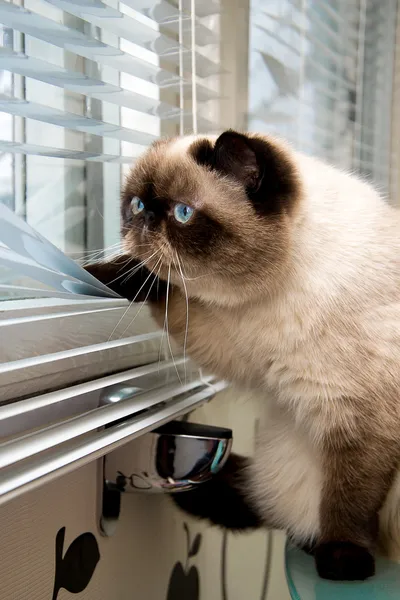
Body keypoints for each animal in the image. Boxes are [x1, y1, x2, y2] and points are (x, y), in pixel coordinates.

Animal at [86, 130, 400, 580]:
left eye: (183, 213)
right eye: (137, 205)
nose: (143, 224)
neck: (269, 299)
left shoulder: (363, 419)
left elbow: (351, 498)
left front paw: (344, 561)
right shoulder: (236, 348)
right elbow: (165, 290)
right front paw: (106, 275)